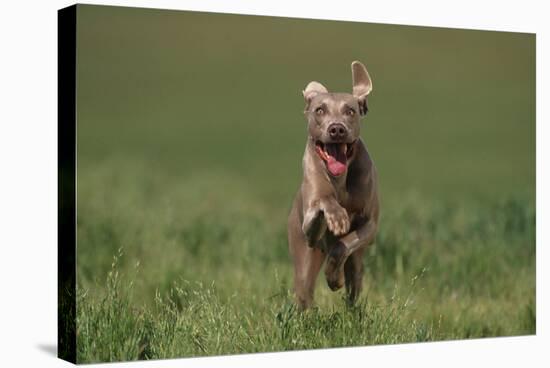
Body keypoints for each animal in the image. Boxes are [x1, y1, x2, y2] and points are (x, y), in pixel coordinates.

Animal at [288, 61, 380, 310]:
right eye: (319, 110)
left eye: (350, 111)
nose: (337, 129)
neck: (339, 179)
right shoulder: (308, 228)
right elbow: (321, 205)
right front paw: (333, 214)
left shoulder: (369, 225)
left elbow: (342, 245)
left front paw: (333, 276)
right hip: (303, 258)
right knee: (304, 291)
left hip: (357, 265)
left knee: (353, 286)